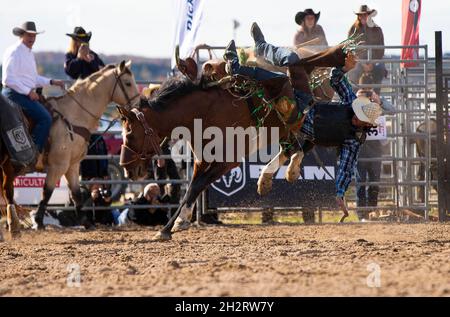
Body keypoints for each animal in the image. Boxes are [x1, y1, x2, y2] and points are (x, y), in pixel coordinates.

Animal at [0, 60, 138, 233]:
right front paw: (38, 221)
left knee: (6, 192)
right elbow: (47, 191)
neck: (74, 116)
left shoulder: (72, 165)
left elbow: (76, 193)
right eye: (127, 83)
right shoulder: (58, 165)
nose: (140, 104)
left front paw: (87, 222)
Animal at [118, 43, 346, 239]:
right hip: (286, 127)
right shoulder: (201, 161)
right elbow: (189, 190)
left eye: (130, 134)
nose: (127, 168)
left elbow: (197, 186)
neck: (204, 112)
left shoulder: (227, 161)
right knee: (295, 147)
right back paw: (276, 176)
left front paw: (178, 223)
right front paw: (168, 227)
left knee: (304, 143)